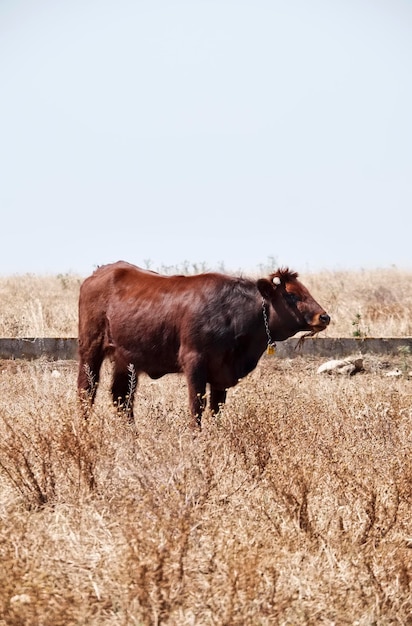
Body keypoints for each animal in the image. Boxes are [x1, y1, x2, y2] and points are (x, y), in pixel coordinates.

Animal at [76, 258, 328, 424]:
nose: (324, 316)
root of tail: (101, 272)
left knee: (122, 398)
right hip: (90, 350)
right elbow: (197, 406)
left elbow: (216, 408)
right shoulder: (194, 362)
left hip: (127, 359)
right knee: (86, 390)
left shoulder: (221, 373)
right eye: (292, 295)